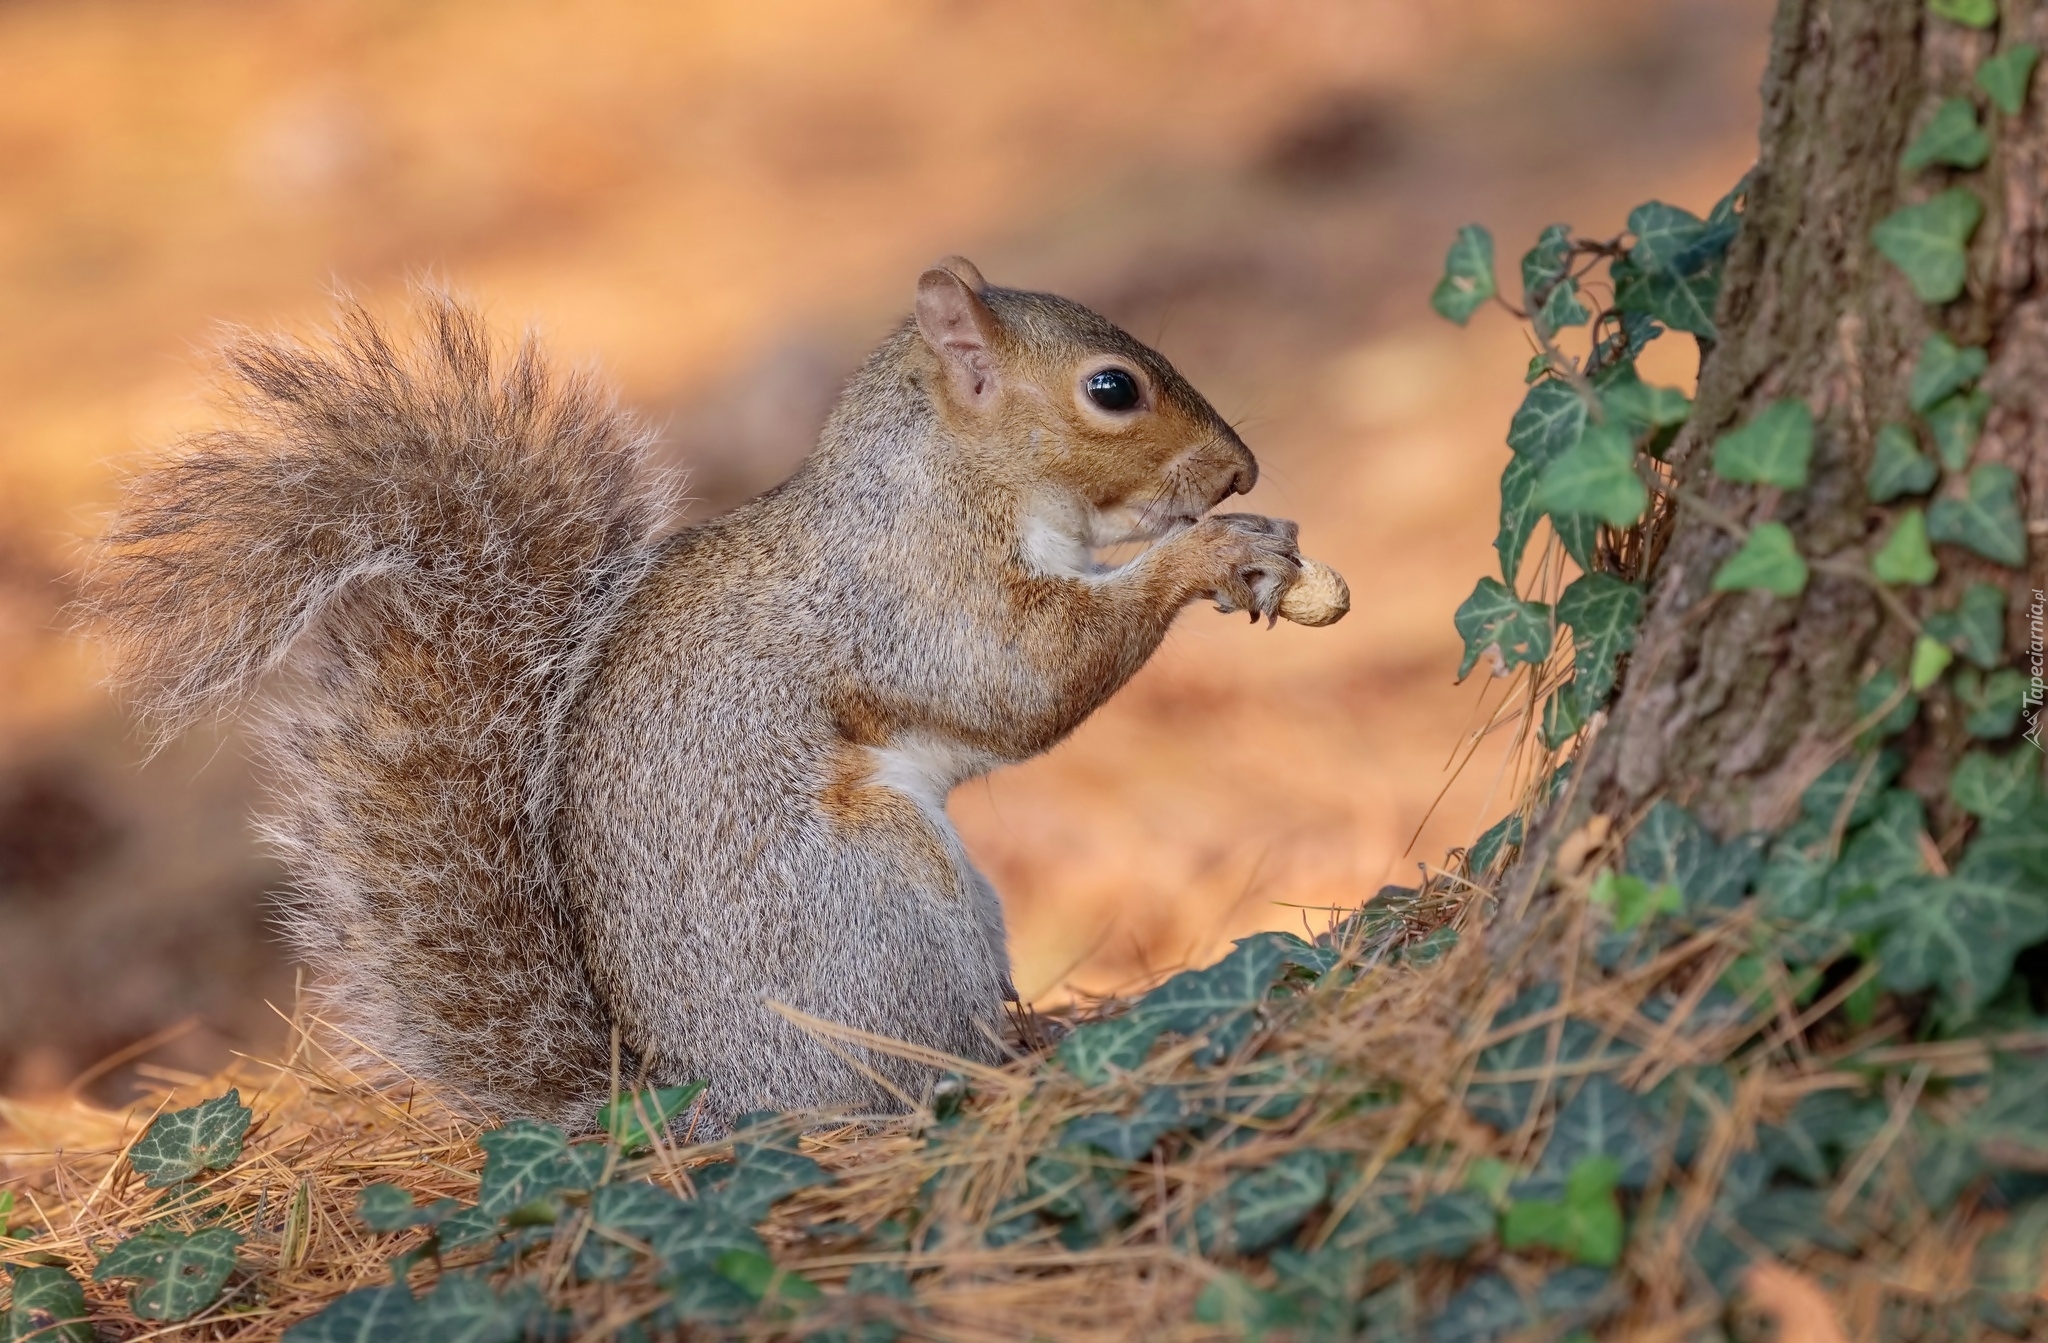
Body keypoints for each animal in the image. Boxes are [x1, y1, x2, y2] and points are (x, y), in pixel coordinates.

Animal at [88, 256, 1335, 1130]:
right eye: (1110, 389)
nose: (1240, 469)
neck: (949, 474)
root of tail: (703, 1104)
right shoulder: (912, 590)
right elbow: (1019, 678)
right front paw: (1209, 554)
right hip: (886, 900)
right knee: (905, 1066)